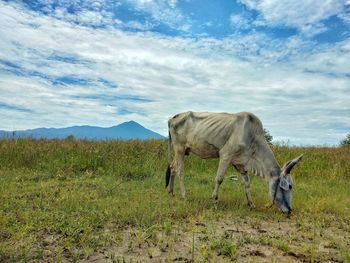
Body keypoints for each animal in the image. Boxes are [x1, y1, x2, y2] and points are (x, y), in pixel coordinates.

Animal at [165, 111, 302, 214]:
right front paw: (214, 199)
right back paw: (184, 195)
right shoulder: (225, 155)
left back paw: (171, 192)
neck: (253, 138)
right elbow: (219, 179)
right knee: (180, 171)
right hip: (179, 149)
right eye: (290, 186)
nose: (289, 210)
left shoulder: (241, 164)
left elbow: (246, 183)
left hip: (184, 151)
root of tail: (173, 118)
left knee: (172, 167)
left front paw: (251, 204)